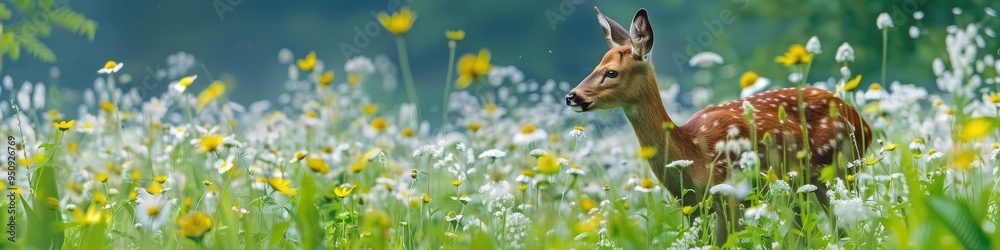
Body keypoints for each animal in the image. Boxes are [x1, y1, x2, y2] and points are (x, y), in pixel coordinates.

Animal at [568, 6, 872, 245]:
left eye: (611, 72)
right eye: (596, 66)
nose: (572, 96)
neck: (692, 154)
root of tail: (864, 124)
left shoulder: (731, 196)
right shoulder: (690, 206)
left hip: (841, 170)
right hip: (799, 188)